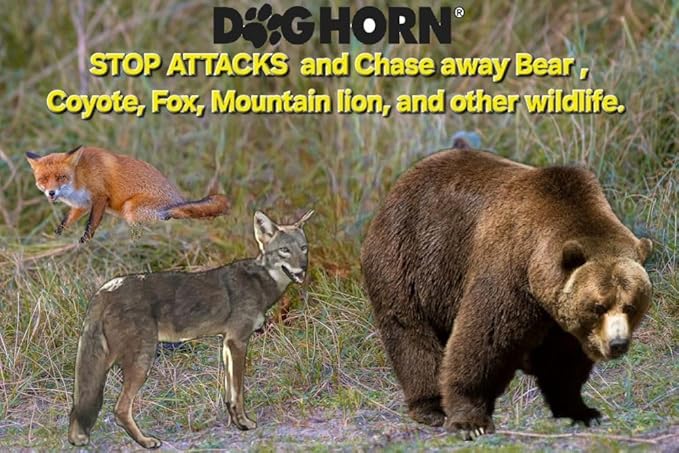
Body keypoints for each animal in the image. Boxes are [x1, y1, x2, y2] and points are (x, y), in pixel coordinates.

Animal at [360, 148, 653, 439]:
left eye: (631, 306)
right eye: (598, 306)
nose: (617, 343)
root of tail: (401, 182)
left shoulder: (558, 313)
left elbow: (562, 361)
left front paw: (579, 409)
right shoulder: (508, 270)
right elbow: (483, 339)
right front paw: (470, 421)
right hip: (411, 259)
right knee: (410, 332)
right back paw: (431, 406)